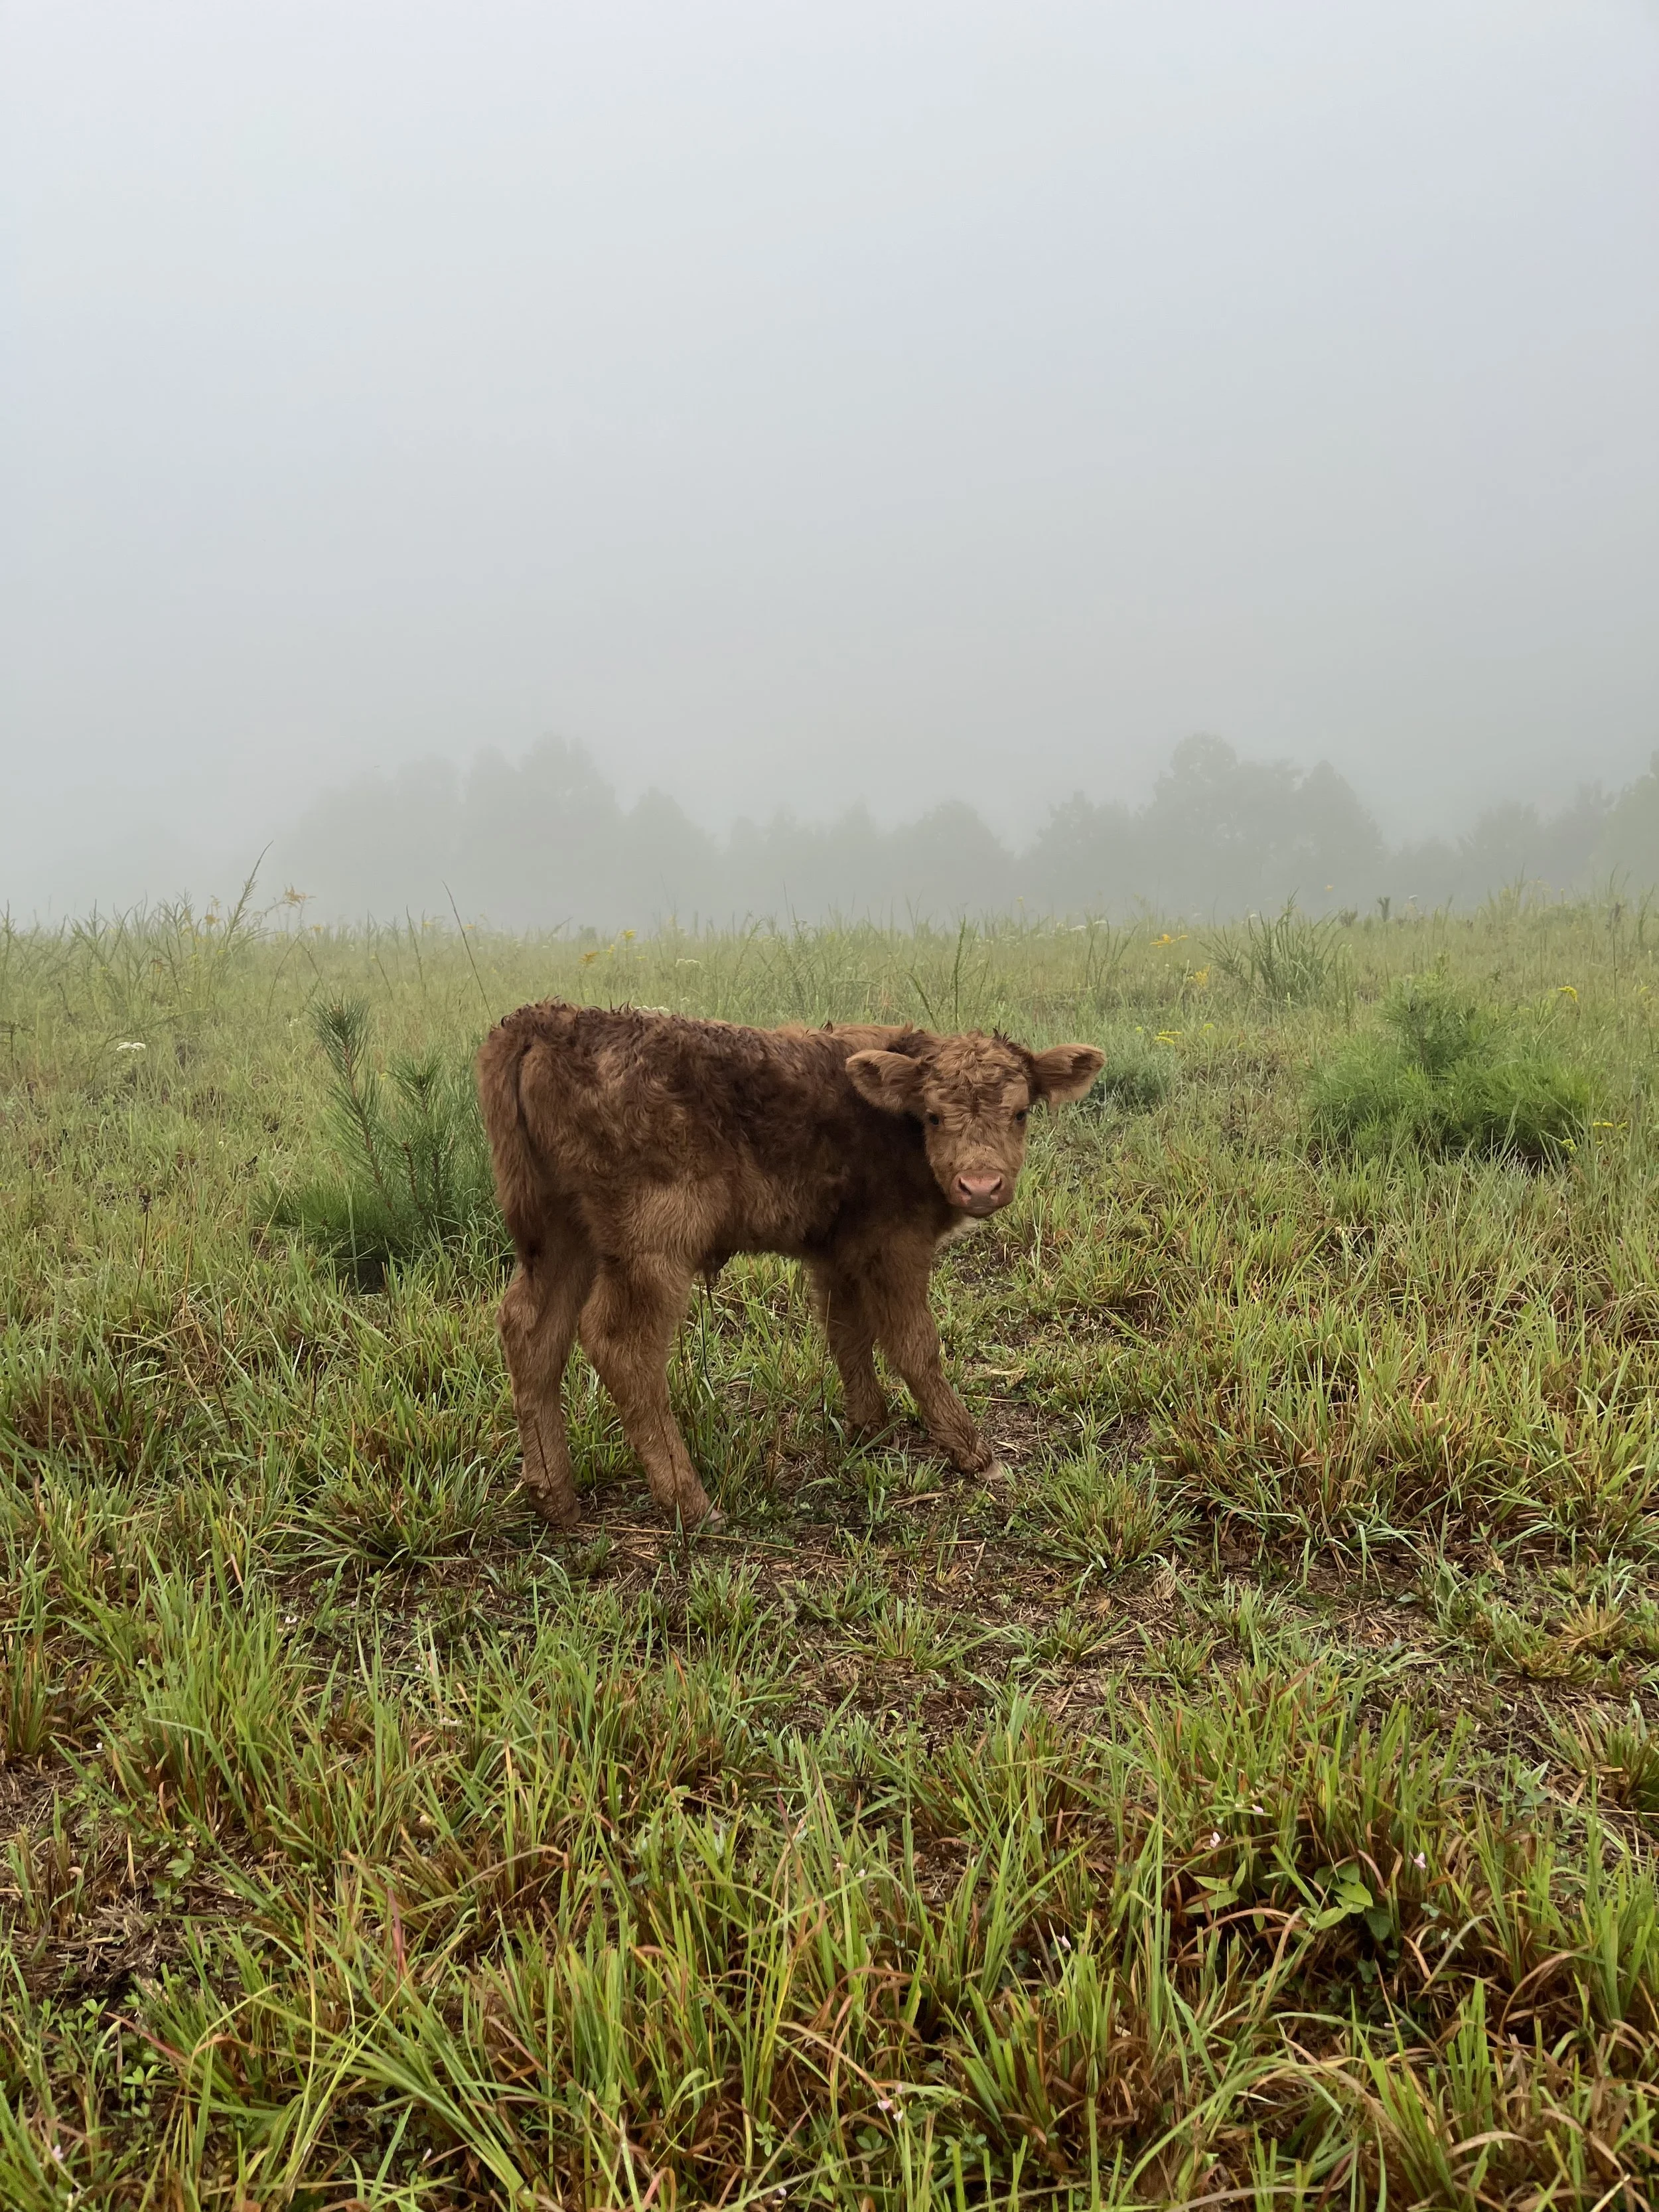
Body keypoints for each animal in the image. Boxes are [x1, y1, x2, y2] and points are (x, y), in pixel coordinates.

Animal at [477, 1002, 1104, 1527]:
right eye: (931, 1115)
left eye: (1020, 1112)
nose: (980, 1184)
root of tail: (549, 1022)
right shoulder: (896, 1245)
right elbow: (914, 1344)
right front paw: (972, 1451)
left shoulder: (839, 1250)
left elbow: (847, 1333)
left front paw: (870, 1428)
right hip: (651, 1244)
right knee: (620, 1344)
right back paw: (689, 1502)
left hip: (560, 1236)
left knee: (530, 1330)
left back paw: (554, 1496)